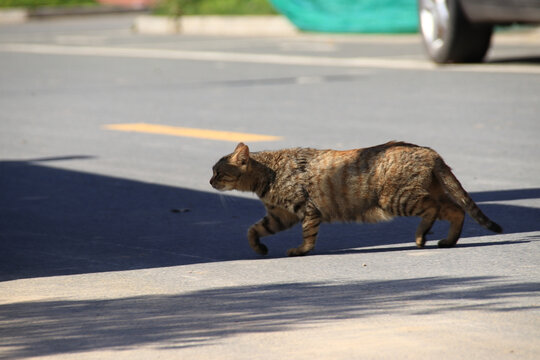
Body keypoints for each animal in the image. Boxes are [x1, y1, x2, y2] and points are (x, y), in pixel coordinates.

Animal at [210, 141, 502, 256]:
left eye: (218, 172)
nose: (210, 181)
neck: (267, 175)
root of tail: (430, 152)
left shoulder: (306, 210)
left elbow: (308, 235)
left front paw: (302, 250)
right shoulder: (280, 216)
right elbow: (253, 230)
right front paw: (259, 249)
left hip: (397, 199)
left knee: (434, 209)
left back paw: (421, 236)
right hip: (421, 195)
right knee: (456, 211)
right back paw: (447, 241)